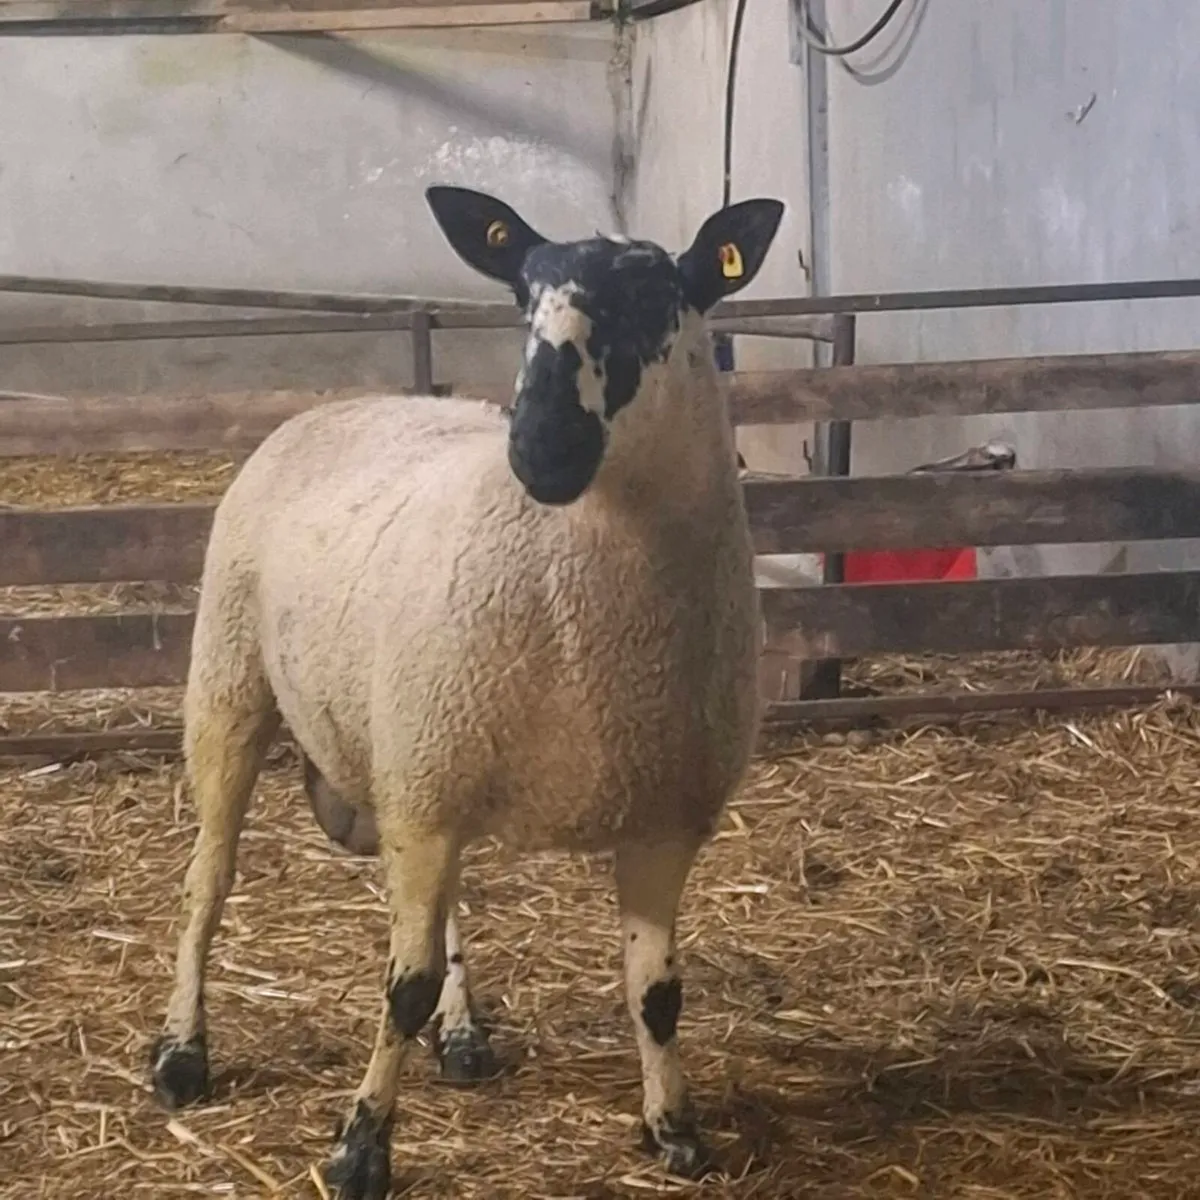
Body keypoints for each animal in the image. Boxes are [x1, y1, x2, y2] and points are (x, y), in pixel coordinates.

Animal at [148, 184, 785, 1200]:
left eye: (659, 300)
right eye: (520, 300)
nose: (540, 447)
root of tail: (346, 405)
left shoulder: (660, 815)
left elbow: (657, 995)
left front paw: (676, 1130)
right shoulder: (426, 793)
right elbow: (397, 989)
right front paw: (360, 1147)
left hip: (424, 749)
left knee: (443, 910)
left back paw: (463, 1035)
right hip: (235, 686)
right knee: (207, 881)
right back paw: (181, 1052)